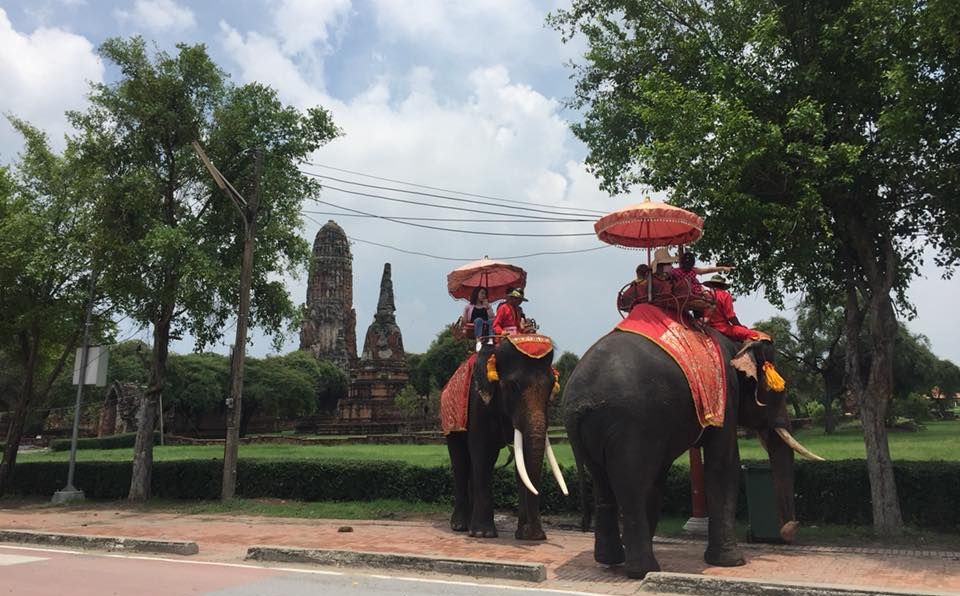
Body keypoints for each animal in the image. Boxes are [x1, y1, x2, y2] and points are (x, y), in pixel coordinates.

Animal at [564, 328, 824, 580]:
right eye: (777, 392)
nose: (789, 528)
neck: (735, 342)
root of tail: (579, 404)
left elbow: (659, 478)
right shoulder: (725, 396)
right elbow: (723, 466)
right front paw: (732, 562)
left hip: (598, 430)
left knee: (603, 484)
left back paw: (612, 561)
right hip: (630, 424)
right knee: (631, 486)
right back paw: (643, 571)